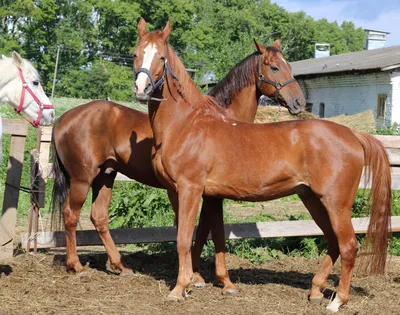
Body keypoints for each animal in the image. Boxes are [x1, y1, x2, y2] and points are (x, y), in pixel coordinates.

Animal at [50, 30, 306, 294]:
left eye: (288, 66)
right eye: (274, 67)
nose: (299, 102)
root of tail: (63, 118)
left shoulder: (208, 193)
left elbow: (203, 231)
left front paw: (201, 276)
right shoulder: (206, 193)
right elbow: (204, 232)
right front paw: (201, 276)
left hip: (105, 176)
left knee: (99, 218)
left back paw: (119, 265)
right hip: (82, 179)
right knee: (70, 215)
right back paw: (76, 266)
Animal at [134, 19, 390, 314]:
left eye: (161, 58)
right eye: (136, 54)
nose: (140, 89)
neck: (188, 124)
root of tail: (353, 134)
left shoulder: (191, 190)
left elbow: (185, 238)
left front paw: (179, 289)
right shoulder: (181, 192)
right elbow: (197, 236)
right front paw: (197, 283)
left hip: (336, 204)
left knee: (348, 245)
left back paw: (338, 300)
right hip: (313, 199)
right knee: (333, 241)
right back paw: (315, 290)